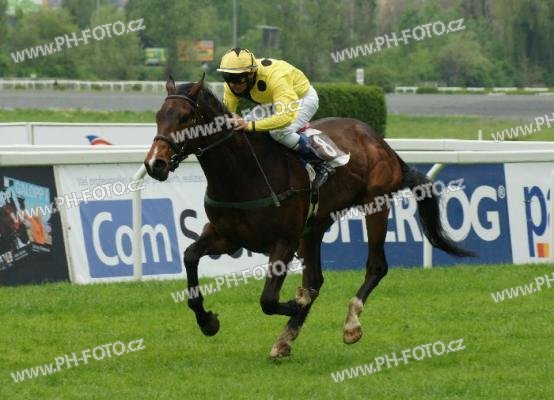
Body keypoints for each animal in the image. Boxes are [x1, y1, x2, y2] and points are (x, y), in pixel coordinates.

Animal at [144, 75, 473, 358]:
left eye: (185, 118)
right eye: (159, 115)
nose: (154, 163)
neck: (243, 174)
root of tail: (381, 143)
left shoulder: (284, 241)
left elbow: (268, 300)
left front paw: (296, 301)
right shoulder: (226, 236)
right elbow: (190, 256)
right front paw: (207, 321)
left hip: (375, 203)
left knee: (376, 266)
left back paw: (351, 323)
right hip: (315, 226)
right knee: (315, 278)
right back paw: (284, 340)